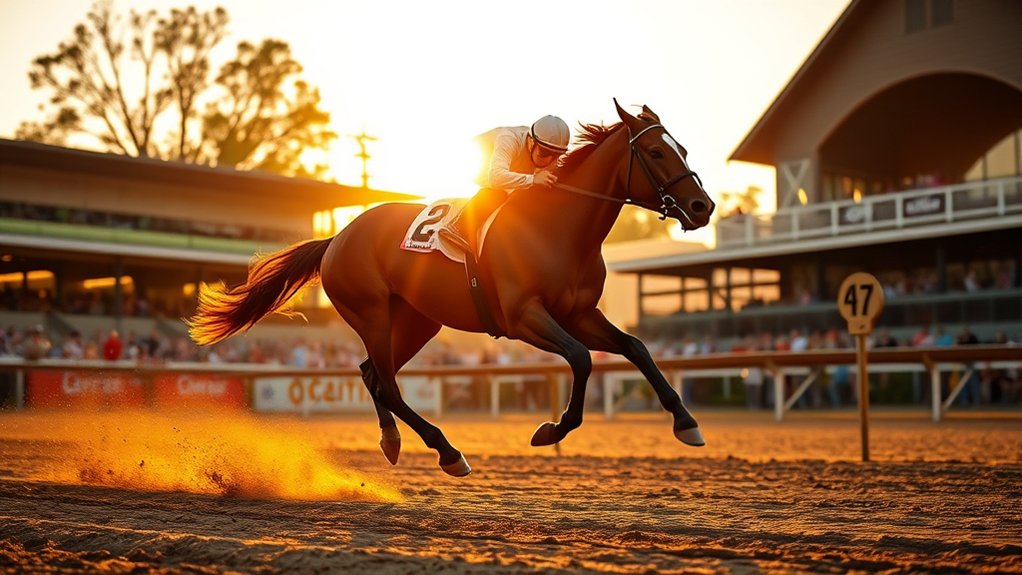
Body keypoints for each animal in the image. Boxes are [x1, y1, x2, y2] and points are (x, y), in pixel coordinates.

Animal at [188, 100, 715, 476]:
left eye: (684, 149)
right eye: (655, 152)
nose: (702, 207)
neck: (558, 230)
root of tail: (337, 237)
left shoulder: (580, 314)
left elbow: (635, 347)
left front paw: (686, 422)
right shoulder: (523, 317)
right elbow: (582, 360)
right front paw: (551, 429)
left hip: (417, 321)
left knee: (370, 374)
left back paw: (392, 441)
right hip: (372, 313)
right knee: (388, 383)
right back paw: (447, 451)